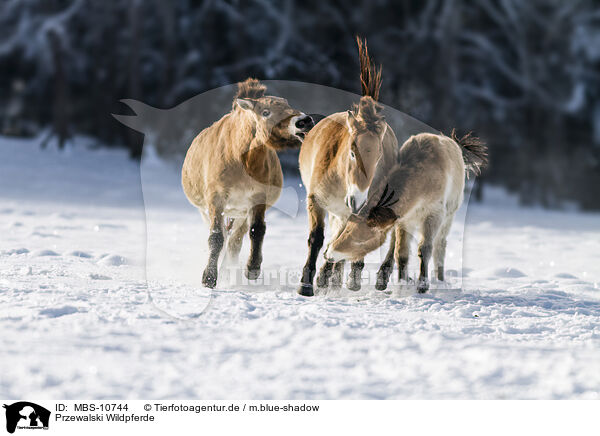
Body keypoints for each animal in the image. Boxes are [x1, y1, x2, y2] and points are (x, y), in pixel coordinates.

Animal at [182, 78, 314, 290]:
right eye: (266, 112)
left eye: (288, 105)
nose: (304, 121)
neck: (241, 159)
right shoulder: (216, 199)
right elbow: (216, 237)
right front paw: (209, 278)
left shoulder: (257, 199)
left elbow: (257, 231)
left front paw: (252, 269)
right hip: (208, 211)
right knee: (224, 237)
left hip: (241, 213)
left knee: (234, 242)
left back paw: (228, 272)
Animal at [296, 38, 398, 296]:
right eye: (352, 152)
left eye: (379, 157)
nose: (357, 199)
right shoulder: (316, 200)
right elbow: (316, 239)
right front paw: (306, 285)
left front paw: (328, 279)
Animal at [324, 130, 488, 292]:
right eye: (345, 231)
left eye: (361, 240)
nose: (329, 255)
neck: (423, 182)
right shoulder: (405, 221)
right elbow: (401, 253)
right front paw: (402, 283)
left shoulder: (433, 216)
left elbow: (425, 248)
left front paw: (422, 285)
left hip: (448, 217)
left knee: (440, 245)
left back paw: (440, 280)